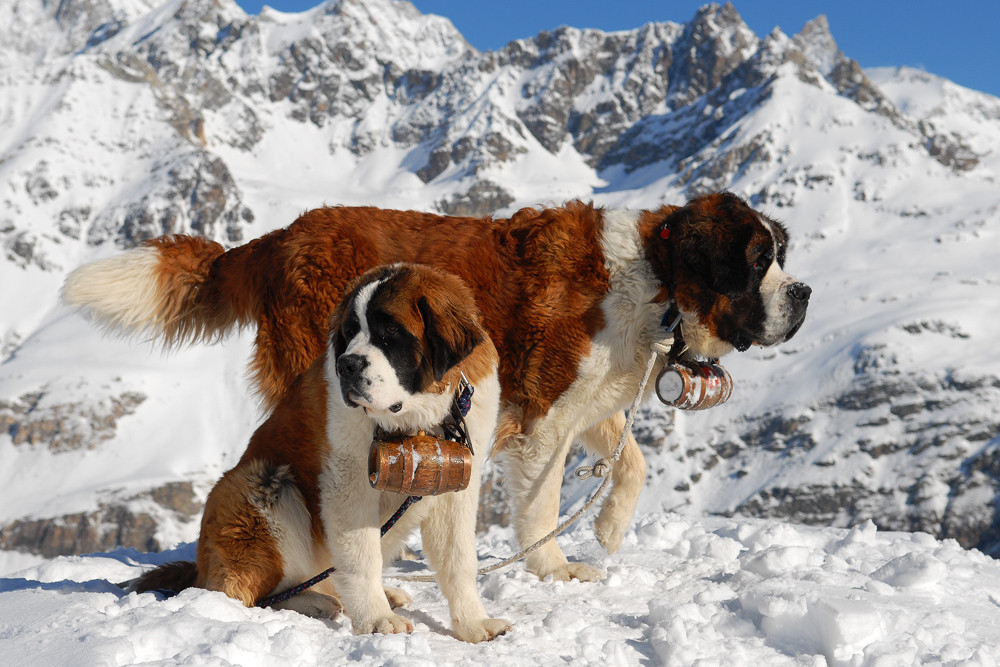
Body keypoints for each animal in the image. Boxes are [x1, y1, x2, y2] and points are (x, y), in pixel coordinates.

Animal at [64, 192, 812, 584]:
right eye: (758, 261)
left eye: (781, 255)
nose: (802, 292)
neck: (655, 275)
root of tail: (285, 233)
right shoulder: (543, 416)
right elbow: (542, 505)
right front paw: (553, 567)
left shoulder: (585, 398)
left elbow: (632, 461)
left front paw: (607, 526)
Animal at [130, 264, 512, 640]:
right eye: (350, 331)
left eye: (391, 331)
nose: (347, 365)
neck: (419, 417)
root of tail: (200, 568)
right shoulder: (348, 480)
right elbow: (361, 559)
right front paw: (377, 620)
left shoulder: (455, 483)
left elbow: (458, 560)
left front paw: (474, 624)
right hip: (257, 485)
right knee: (245, 593)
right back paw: (319, 602)